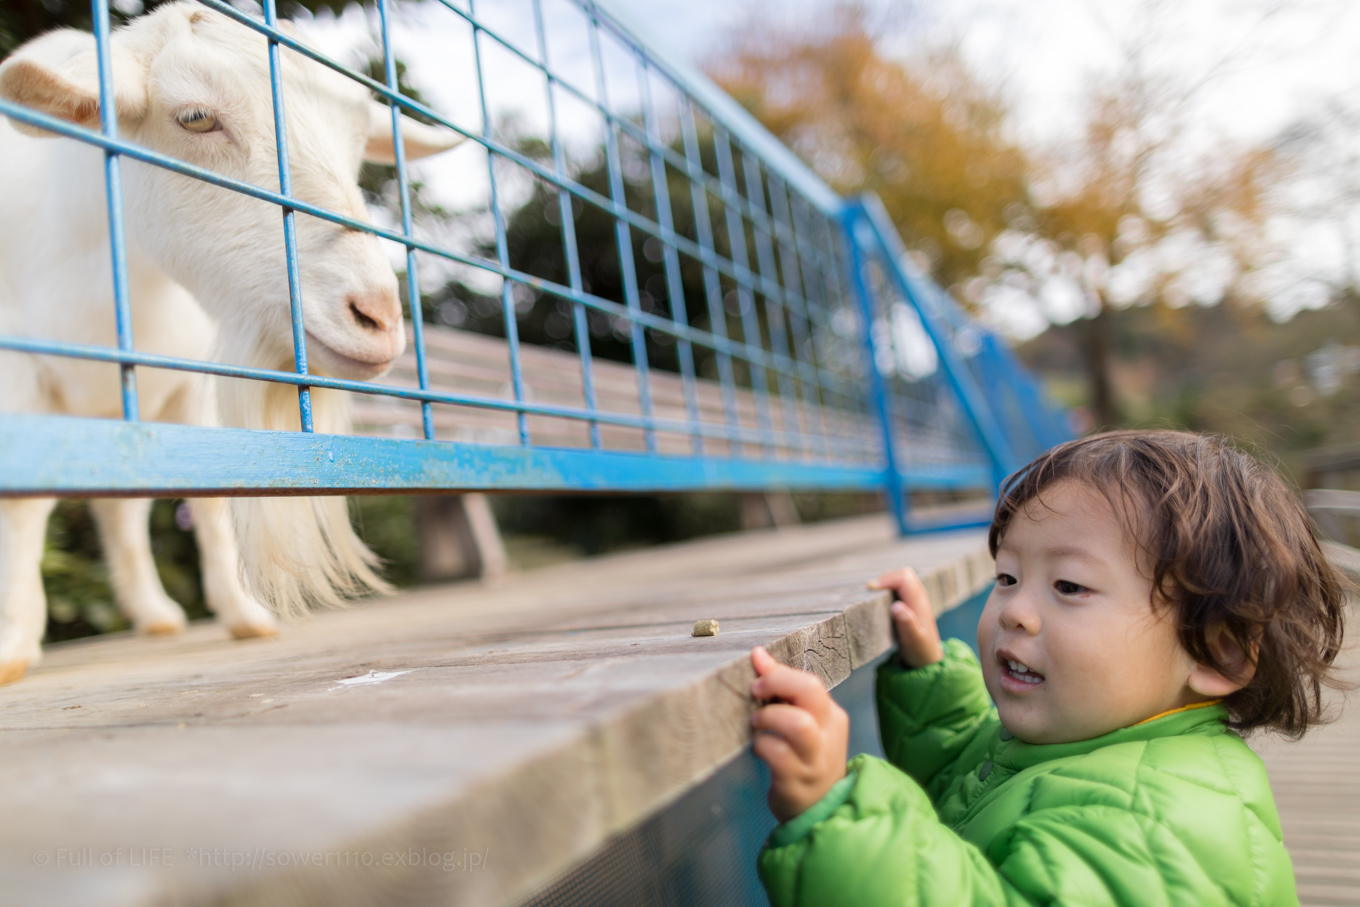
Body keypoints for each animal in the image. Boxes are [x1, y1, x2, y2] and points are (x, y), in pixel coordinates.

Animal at [0, 0, 462, 679]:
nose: (376, 317)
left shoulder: (192, 380)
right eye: (195, 118)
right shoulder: (20, 378)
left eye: (356, 141)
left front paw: (247, 617)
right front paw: (13, 644)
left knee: (122, 506)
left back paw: (157, 615)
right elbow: (23, 505)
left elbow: (213, 491)